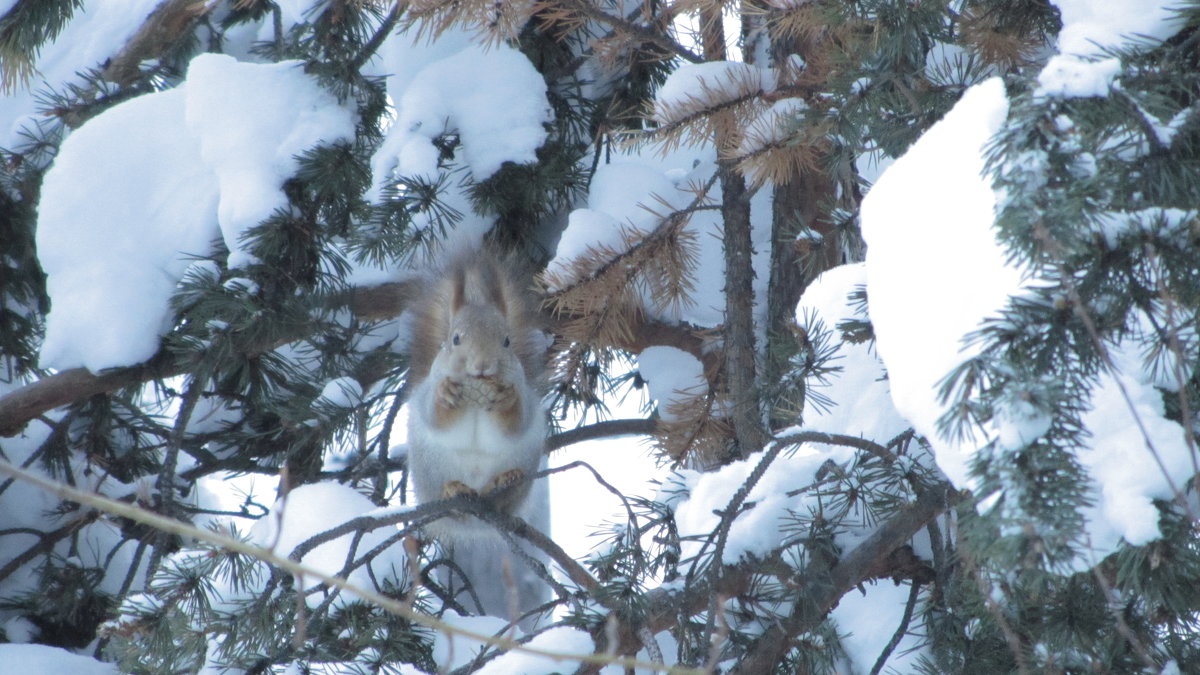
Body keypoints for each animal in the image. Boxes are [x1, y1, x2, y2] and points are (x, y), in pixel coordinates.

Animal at [408, 247, 549, 526]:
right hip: (430, 469)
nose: (483, 365)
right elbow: (435, 417)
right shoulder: (431, 383)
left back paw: (502, 482)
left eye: (507, 341)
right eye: (455, 339)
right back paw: (453, 490)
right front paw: (444, 393)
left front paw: (506, 399)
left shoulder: (522, 388)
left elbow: (517, 422)